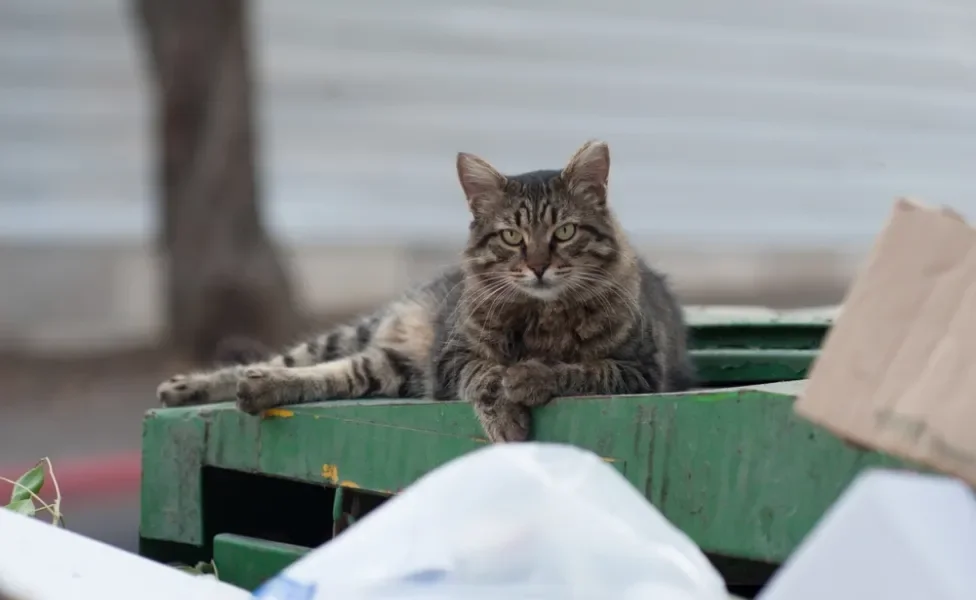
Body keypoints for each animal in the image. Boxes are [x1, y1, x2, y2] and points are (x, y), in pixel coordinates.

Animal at [156, 139, 692, 440]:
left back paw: (261, 389)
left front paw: (530, 377)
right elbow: (486, 376)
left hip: (391, 368)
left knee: (330, 375)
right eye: (511, 237)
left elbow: (579, 369)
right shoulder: (451, 359)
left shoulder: (641, 370)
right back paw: (194, 386)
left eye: (564, 232)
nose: (538, 266)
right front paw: (506, 410)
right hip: (379, 344)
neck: (542, 316)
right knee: (282, 360)